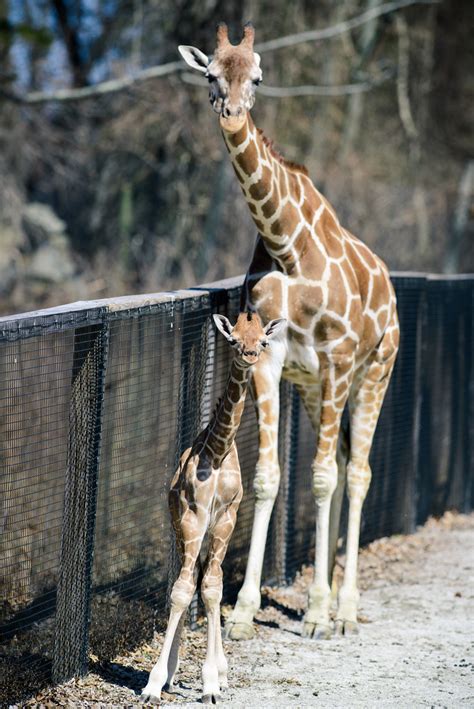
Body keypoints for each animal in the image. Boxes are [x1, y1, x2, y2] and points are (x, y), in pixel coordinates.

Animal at [140, 312, 286, 704]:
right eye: (233, 340)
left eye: (263, 341)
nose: (250, 355)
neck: (218, 453)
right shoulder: (193, 517)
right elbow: (182, 590)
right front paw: (154, 683)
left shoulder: (226, 518)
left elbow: (213, 589)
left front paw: (211, 682)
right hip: (183, 529)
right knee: (190, 579)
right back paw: (172, 674)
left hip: (212, 532)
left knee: (208, 579)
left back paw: (219, 672)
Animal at [180, 23, 398, 640]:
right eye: (211, 74)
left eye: (256, 76)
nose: (231, 114)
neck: (287, 245)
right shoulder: (272, 358)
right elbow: (269, 477)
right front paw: (244, 612)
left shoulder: (340, 356)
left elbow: (319, 478)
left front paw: (320, 613)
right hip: (313, 386)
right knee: (344, 464)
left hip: (374, 371)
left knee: (357, 472)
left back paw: (343, 609)